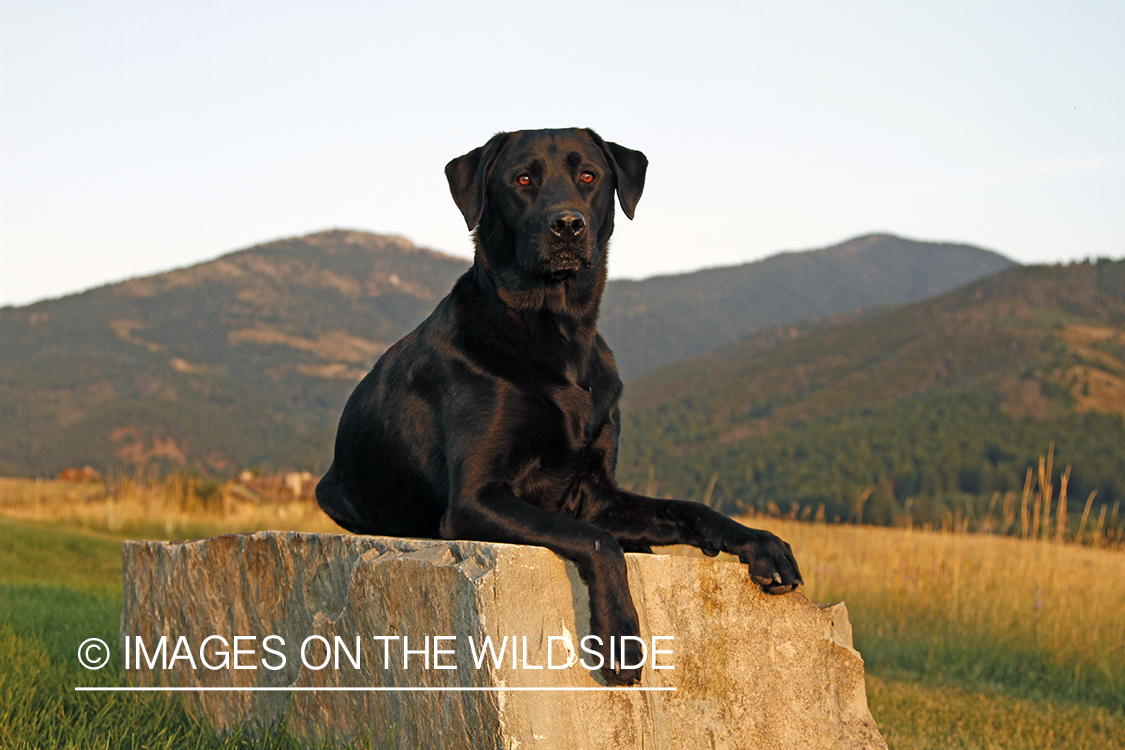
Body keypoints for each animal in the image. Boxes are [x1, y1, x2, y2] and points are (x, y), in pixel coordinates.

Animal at [317, 127, 805, 688]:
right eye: (523, 180)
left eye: (589, 176)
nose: (568, 224)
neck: (555, 329)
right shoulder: (476, 499)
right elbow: (597, 541)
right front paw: (621, 636)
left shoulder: (597, 492)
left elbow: (687, 508)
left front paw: (760, 543)